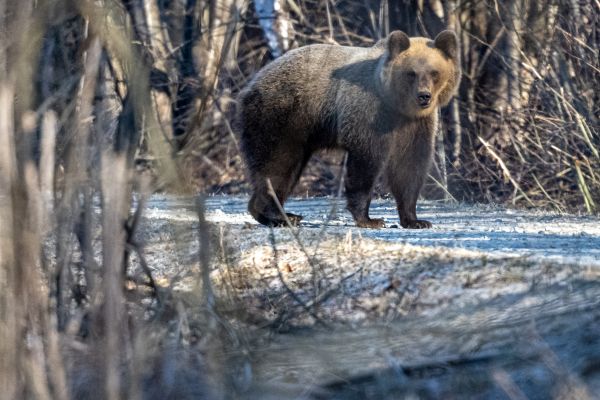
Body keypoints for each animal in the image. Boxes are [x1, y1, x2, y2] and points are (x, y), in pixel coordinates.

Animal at [237, 28, 462, 228]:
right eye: (411, 73)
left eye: (434, 72)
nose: (424, 96)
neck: (397, 107)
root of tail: (251, 83)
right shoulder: (369, 113)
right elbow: (366, 161)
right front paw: (369, 219)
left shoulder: (415, 125)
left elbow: (409, 165)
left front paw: (416, 220)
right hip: (282, 115)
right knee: (277, 163)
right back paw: (279, 216)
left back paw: (280, 214)